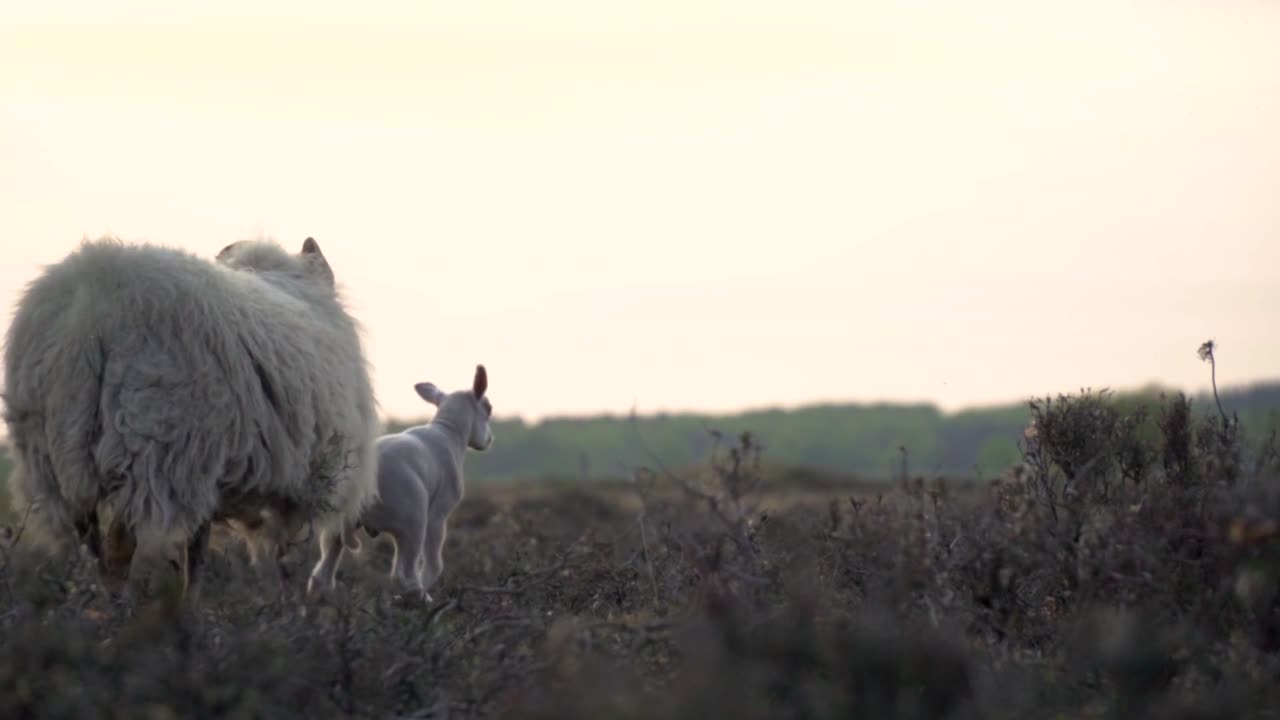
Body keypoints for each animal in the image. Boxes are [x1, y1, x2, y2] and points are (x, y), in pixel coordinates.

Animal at [1, 235, 378, 599]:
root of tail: (90, 309)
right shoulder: (294, 488)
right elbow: (269, 558)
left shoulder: (208, 479)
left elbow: (198, 552)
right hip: (152, 448)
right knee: (122, 550)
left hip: (53, 455)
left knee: (95, 550)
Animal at [304, 361, 494, 597]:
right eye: (489, 408)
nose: (489, 440)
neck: (449, 429)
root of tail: (358, 485)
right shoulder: (438, 516)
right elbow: (433, 564)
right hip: (413, 523)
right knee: (405, 575)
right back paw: (421, 597)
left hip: (335, 526)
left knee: (321, 574)